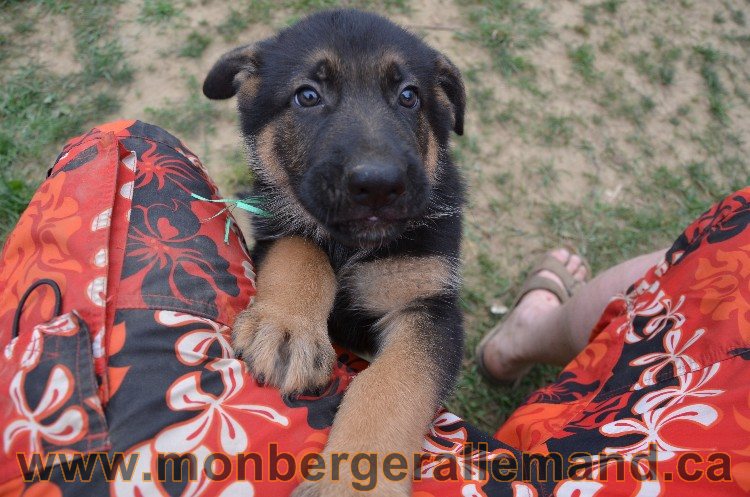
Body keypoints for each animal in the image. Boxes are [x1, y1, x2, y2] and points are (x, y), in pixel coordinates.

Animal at [204, 8, 464, 496]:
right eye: (307, 95)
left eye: (409, 96)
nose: (379, 185)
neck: (351, 247)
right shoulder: (274, 230)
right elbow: (300, 249)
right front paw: (287, 327)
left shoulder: (428, 306)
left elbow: (394, 383)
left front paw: (356, 479)